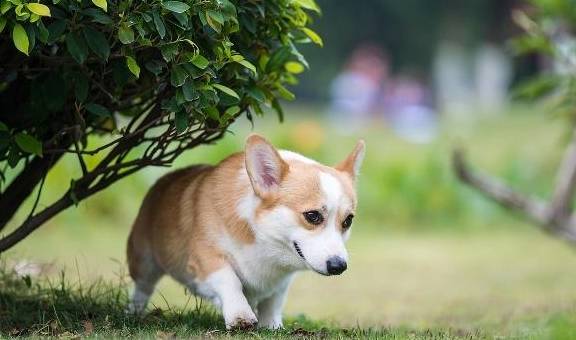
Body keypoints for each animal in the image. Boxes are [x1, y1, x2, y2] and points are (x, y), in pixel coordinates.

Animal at [126, 135, 364, 330]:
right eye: (313, 216)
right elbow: (230, 280)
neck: (264, 239)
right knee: (143, 287)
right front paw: (240, 316)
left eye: (348, 221)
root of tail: (163, 180)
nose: (339, 266)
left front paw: (272, 326)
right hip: (145, 261)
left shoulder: (281, 282)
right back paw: (134, 313)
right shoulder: (207, 257)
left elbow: (273, 301)